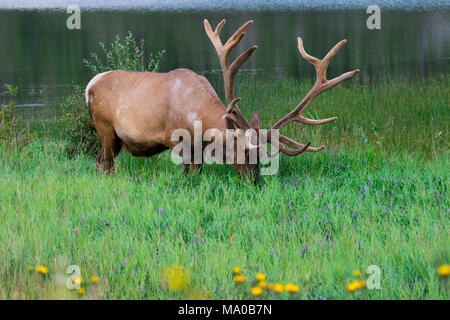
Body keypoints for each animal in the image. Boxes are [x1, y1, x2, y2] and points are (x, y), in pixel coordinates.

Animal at [84, 18, 358, 182]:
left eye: (263, 154)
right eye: (244, 150)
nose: (253, 181)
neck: (201, 122)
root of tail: (89, 85)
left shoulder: (198, 148)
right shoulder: (176, 140)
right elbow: (186, 175)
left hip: (114, 139)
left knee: (99, 162)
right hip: (105, 128)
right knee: (105, 164)